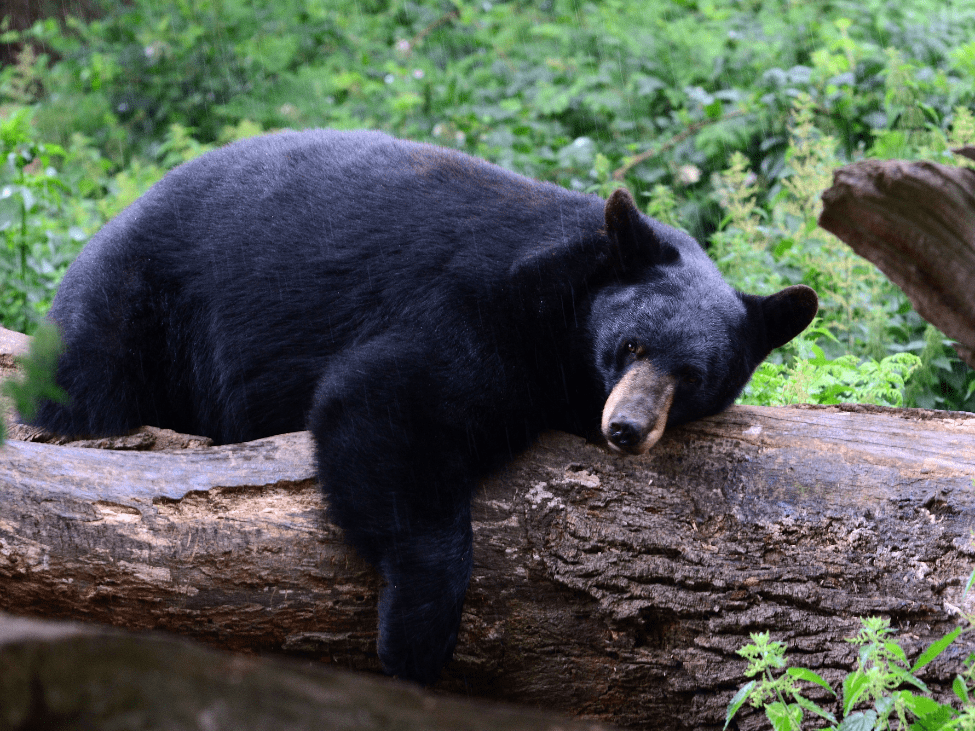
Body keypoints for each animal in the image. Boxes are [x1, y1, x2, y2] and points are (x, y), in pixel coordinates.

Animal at [30, 130, 820, 688]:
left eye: (691, 376)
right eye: (630, 344)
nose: (624, 429)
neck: (565, 299)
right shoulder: (476, 306)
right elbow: (388, 401)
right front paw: (415, 636)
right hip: (137, 304)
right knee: (88, 382)